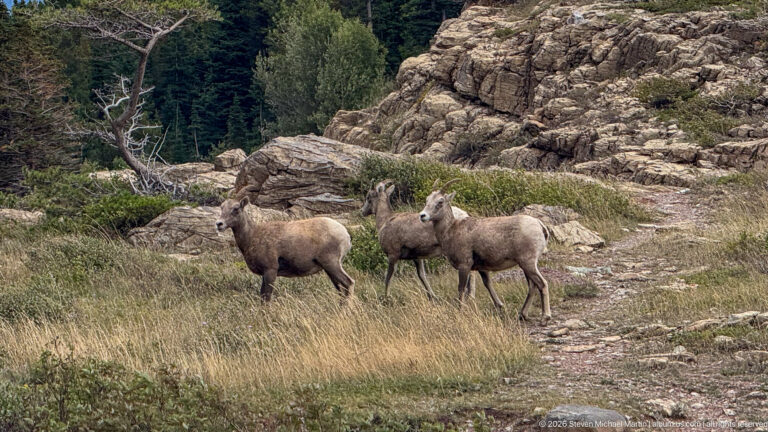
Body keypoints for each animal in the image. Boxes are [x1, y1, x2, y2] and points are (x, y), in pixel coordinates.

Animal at [216, 187, 355, 301]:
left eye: (236, 208)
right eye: (221, 207)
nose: (219, 224)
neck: (252, 236)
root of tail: (345, 234)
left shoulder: (270, 270)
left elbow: (266, 298)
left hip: (331, 264)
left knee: (349, 283)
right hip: (329, 268)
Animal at [418, 179, 551, 324]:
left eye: (440, 202)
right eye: (427, 199)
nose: (423, 216)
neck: (451, 229)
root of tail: (540, 226)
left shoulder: (464, 266)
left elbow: (461, 288)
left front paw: (460, 310)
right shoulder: (482, 268)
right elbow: (487, 283)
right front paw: (499, 306)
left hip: (528, 263)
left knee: (542, 284)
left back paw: (545, 317)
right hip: (525, 265)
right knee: (532, 286)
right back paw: (522, 315)